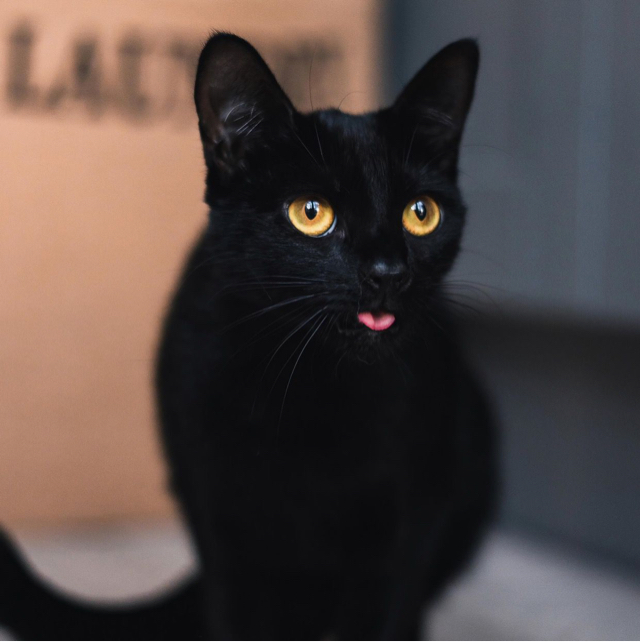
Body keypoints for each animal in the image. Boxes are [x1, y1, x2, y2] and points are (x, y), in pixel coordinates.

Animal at [0, 33, 496, 640]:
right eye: (311, 213)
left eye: (421, 214)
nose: (388, 272)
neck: (316, 395)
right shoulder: (221, 520)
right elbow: (237, 616)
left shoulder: (407, 520)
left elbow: (387, 611)